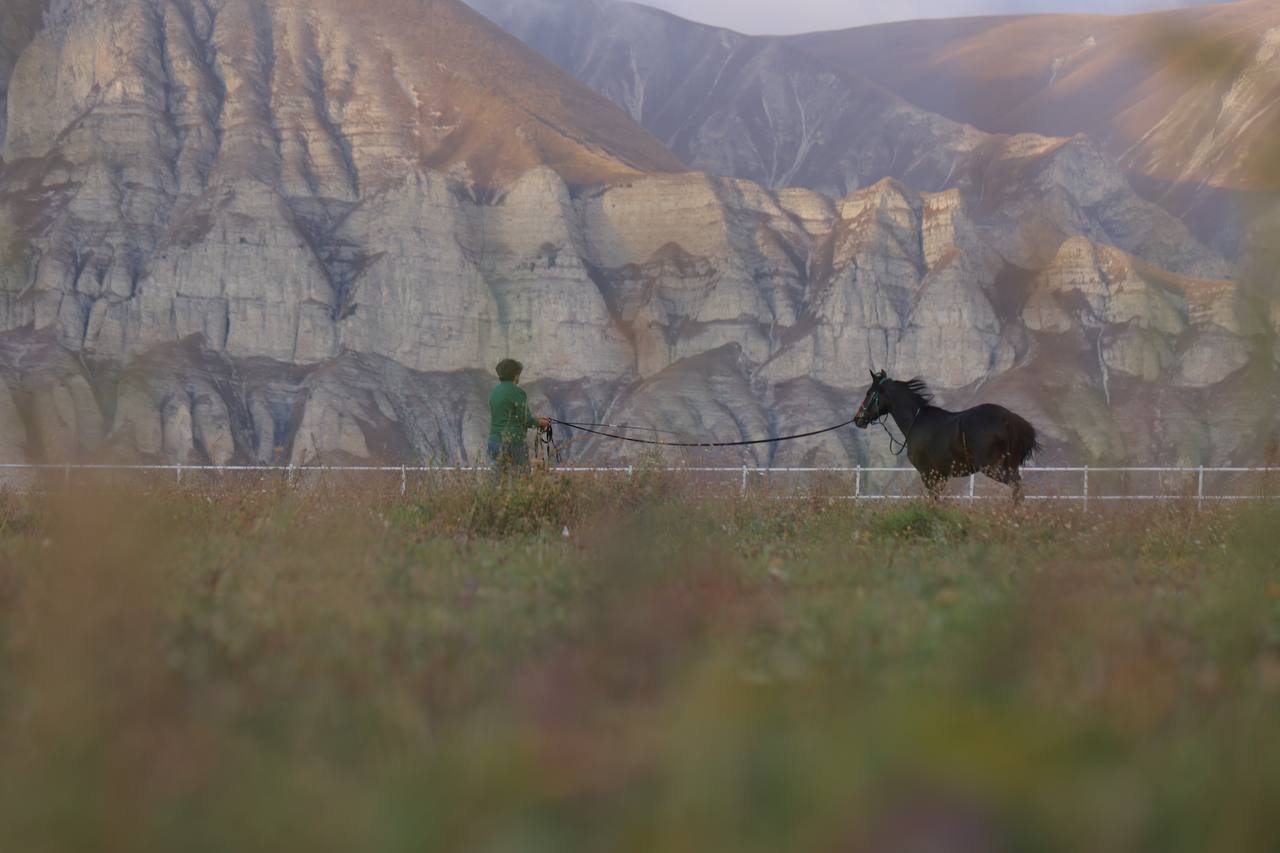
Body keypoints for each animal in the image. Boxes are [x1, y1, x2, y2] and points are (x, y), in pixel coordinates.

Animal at [849, 371, 1039, 499]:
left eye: (869, 393)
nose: (858, 419)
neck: (917, 420)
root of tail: (1008, 419)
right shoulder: (940, 476)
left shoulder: (928, 474)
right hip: (1009, 466)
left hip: (994, 468)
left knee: (1016, 488)